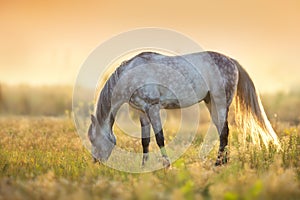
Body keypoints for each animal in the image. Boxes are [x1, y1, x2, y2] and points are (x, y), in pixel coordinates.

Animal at [87, 50, 282, 167]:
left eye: (93, 139)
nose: (95, 163)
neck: (131, 75)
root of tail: (231, 61)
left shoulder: (153, 108)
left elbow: (160, 138)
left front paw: (167, 166)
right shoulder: (142, 111)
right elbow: (145, 141)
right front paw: (143, 167)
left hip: (220, 103)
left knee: (225, 132)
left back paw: (219, 164)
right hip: (211, 103)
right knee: (222, 132)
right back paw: (222, 163)